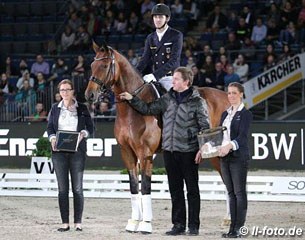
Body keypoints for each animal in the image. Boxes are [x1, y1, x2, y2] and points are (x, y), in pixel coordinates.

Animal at [84, 42, 229, 233]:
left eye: (105, 66)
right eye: (92, 65)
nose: (89, 95)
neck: (132, 108)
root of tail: (226, 95)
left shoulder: (145, 153)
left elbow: (145, 186)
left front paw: (145, 224)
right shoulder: (127, 152)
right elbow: (133, 186)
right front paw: (133, 222)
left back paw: (229, 221)